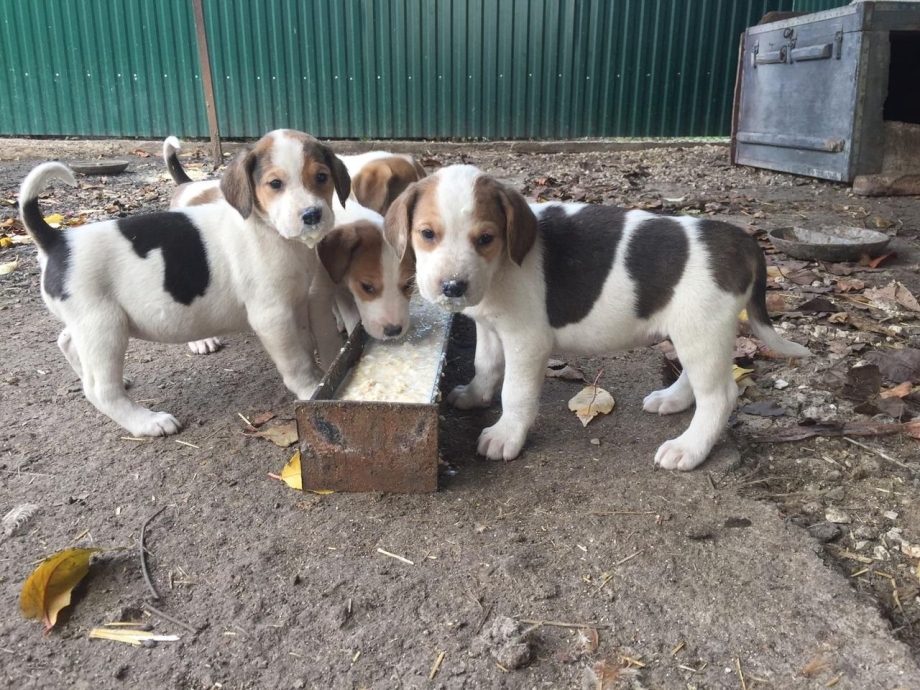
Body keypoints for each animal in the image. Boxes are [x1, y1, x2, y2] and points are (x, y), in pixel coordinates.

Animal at [19, 129, 351, 436]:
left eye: (322, 177)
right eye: (275, 184)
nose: (312, 215)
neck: (270, 231)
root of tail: (57, 239)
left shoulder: (299, 304)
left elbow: (309, 345)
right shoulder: (273, 316)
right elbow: (296, 361)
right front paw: (310, 388)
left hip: (88, 323)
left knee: (67, 342)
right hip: (104, 328)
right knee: (100, 390)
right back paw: (148, 422)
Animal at [162, 137, 416, 347]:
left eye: (408, 285)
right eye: (368, 287)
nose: (394, 330)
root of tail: (188, 185)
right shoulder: (316, 298)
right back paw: (201, 341)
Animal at [384, 165, 811, 470]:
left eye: (486, 239)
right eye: (427, 234)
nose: (452, 287)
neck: (500, 269)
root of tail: (743, 241)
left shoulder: (526, 341)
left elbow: (515, 393)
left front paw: (506, 435)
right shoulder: (490, 328)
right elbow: (486, 366)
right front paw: (474, 396)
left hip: (701, 328)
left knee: (720, 396)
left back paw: (688, 449)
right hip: (695, 331)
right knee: (698, 378)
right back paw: (671, 400)